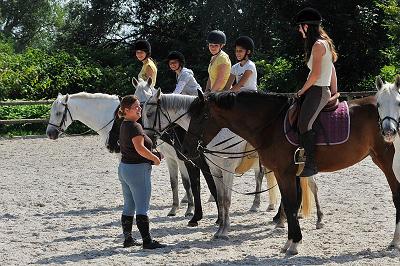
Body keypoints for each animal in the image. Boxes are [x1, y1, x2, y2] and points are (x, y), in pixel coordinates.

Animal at [46, 91, 195, 216]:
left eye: (58, 113)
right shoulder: (170, 158)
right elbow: (173, 182)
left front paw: (190, 209)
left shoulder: (179, 158)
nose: (50, 133)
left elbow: (185, 182)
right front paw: (175, 208)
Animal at [142, 89, 280, 239]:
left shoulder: (221, 168)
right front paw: (214, 224)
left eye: (149, 114)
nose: (147, 139)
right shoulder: (209, 167)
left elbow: (217, 193)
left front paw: (215, 223)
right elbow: (213, 193)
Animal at [182, 90, 400, 255]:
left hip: (387, 163)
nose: (186, 149)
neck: (271, 125)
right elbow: (290, 205)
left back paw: (394, 241)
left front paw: (294, 244)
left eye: (202, 117)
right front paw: (289, 241)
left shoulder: (285, 174)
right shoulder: (285, 174)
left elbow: (290, 205)